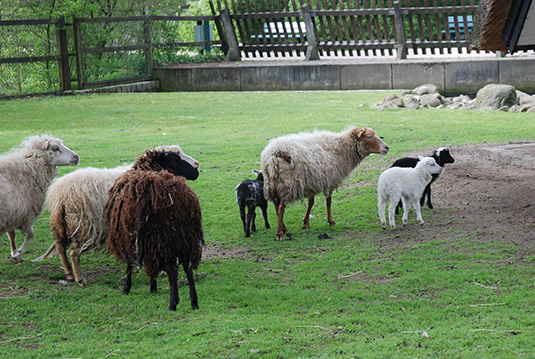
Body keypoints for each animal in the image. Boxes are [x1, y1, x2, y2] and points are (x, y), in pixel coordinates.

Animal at [34, 145, 201, 288]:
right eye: (174, 159)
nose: (197, 167)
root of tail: (59, 196)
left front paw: (134, 267)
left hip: (60, 225)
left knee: (61, 248)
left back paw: (69, 273)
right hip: (84, 225)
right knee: (74, 251)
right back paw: (80, 279)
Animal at [104, 149, 203, 312]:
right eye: (174, 160)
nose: (196, 172)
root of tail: (177, 196)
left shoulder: (130, 237)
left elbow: (130, 263)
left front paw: (127, 288)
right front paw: (153, 287)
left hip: (163, 236)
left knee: (172, 268)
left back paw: (173, 303)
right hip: (186, 236)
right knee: (187, 266)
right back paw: (194, 301)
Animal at [262, 127, 392, 242]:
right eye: (369, 136)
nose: (387, 148)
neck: (341, 149)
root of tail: (272, 156)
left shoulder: (313, 181)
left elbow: (311, 203)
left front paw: (305, 222)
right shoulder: (329, 180)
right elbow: (328, 202)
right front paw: (330, 221)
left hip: (274, 184)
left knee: (276, 207)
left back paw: (284, 229)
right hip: (287, 185)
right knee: (281, 209)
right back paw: (279, 233)